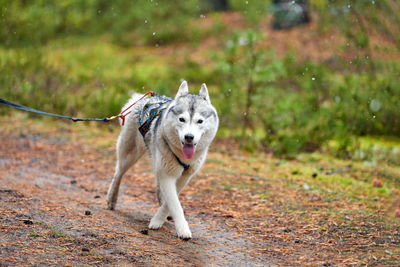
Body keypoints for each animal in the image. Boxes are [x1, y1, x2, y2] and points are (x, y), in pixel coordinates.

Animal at [106, 80, 219, 240]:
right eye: (182, 119)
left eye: (200, 121)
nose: (189, 137)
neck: (182, 156)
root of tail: (144, 98)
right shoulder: (167, 175)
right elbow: (175, 203)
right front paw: (179, 228)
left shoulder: (184, 176)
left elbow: (171, 200)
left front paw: (161, 217)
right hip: (130, 155)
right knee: (118, 173)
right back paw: (112, 198)